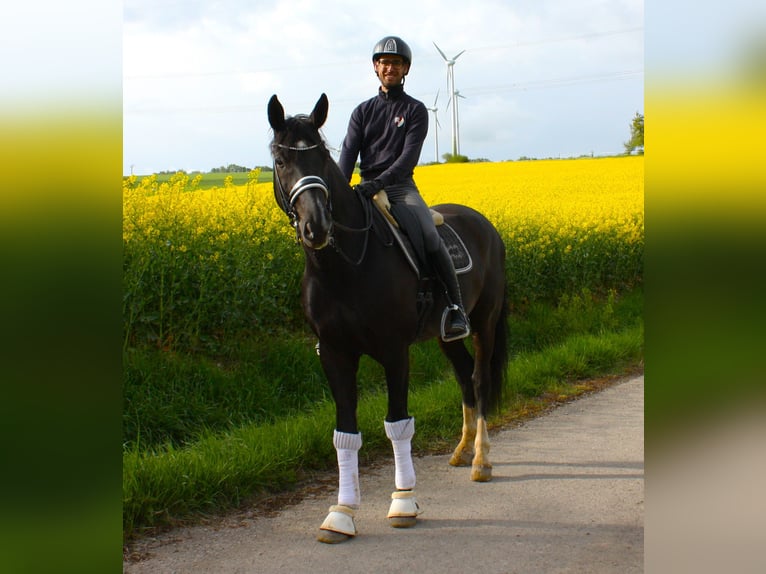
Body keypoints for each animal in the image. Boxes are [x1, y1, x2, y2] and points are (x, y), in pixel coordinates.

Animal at [268, 94, 510, 544]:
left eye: (321, 156)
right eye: (280, 160)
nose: (316, 227)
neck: (345, 266)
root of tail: (484, 223)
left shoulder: (395, 352)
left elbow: (398, 423)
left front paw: (403, 501)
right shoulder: (334, 354)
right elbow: (345, 433)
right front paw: (341, 513)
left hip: (485, 322)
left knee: (481, 379)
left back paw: (481, 460)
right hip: (447, 336)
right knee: (464, 375)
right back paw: (461, 450)